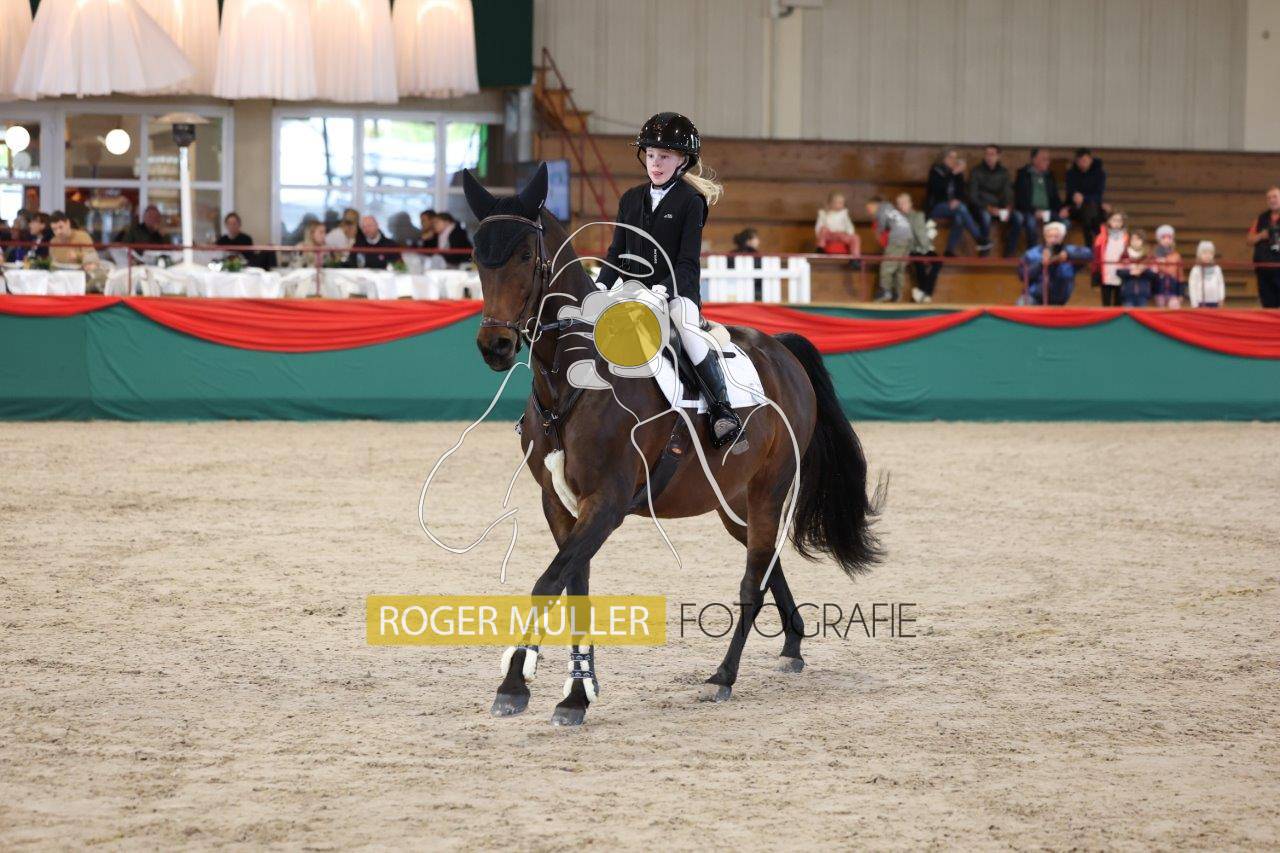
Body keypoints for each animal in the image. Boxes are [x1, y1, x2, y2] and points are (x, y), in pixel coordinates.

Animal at [463, 163, 882, 726]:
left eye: (527, 257)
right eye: (476, 256)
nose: (495, 346)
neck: (574, 382)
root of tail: (779, 348)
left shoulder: (607, 502)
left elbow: (547, 583)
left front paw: (516, 685)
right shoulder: (559, 503)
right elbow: (574, 586)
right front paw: (577, 693)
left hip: (770, 489)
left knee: (752, 581)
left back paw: (722, 677)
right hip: (734, 503)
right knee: (766, 562)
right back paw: (792, 644)